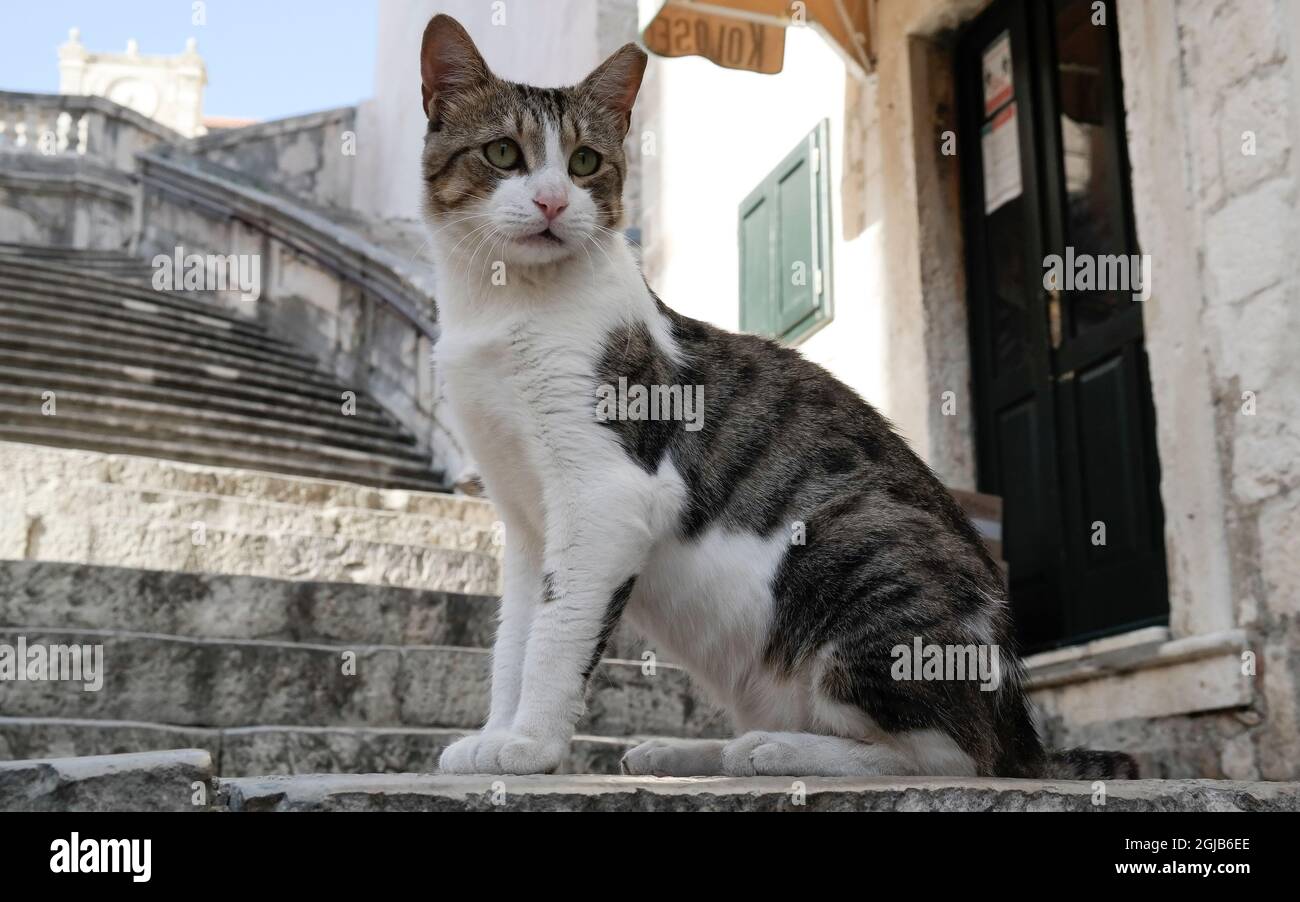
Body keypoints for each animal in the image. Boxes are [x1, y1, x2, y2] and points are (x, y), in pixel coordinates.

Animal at [418, 10, 1138, 779]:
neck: (508, 308)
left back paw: (777, 751)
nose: (553, 201)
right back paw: (694, 752)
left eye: (584, 163)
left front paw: (529, 746)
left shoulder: (605, 493)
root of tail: (1019, 723)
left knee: (952, 756)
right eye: (502, 153)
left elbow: (557, 631)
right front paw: (495, 736)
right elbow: (515, 634)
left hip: (853, 549)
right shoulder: (527, 518)